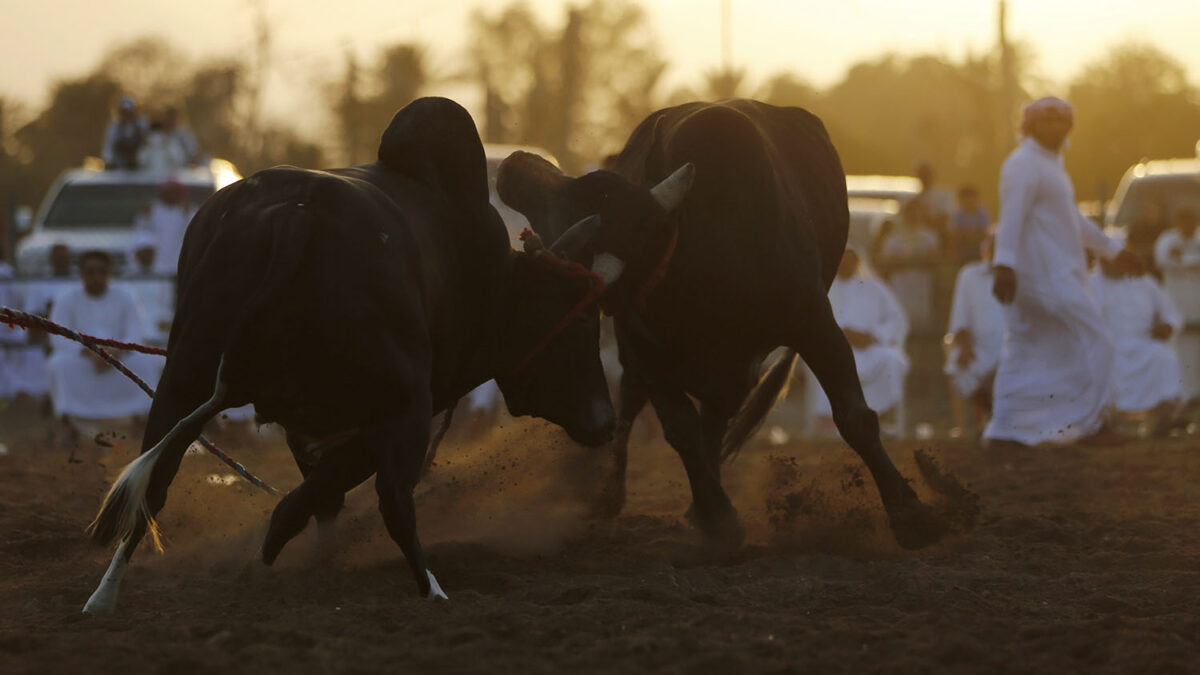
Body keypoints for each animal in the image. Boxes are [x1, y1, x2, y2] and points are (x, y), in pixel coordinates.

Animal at [499, 98, 945, 547]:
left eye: (569, 204)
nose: (512, 168)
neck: (705, 259)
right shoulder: (641, 345)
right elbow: (680, 427)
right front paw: (718, 516)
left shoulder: (813, 322)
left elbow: (855, 416)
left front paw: (910, 513)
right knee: (634, 403)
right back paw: (614, 495)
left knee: (713, 413)